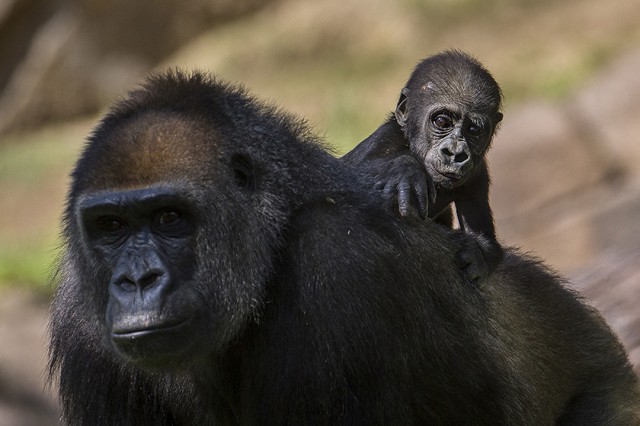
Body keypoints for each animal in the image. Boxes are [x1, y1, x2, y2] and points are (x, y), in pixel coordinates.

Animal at [342, 50, 502, 282]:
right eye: (442, 122)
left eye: (473, 130)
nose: (455, 153)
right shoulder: (386, 138)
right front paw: (404, 170)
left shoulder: (477, 174)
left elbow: (485, 239)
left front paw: (478, 253)